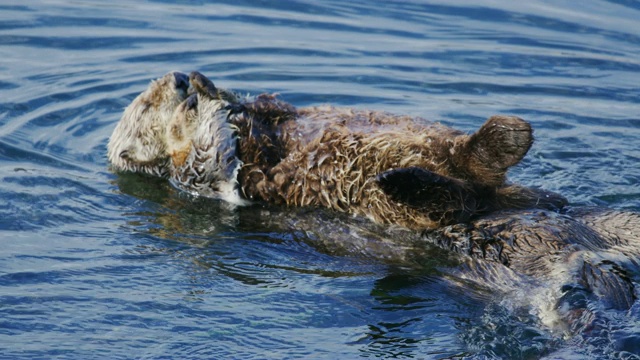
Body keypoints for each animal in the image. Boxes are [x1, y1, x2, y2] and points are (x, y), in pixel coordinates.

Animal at [109, 69, 564, 228]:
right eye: (146, 105)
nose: (180, 80)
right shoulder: (195, 179)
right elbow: (209, 159)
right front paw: (196, 112)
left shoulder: (271, 114)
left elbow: (270, 108)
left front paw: (214, 90)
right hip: (391, 196)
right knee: (451, 199)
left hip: (441, 145)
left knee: (468, 162)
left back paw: (508, 133)